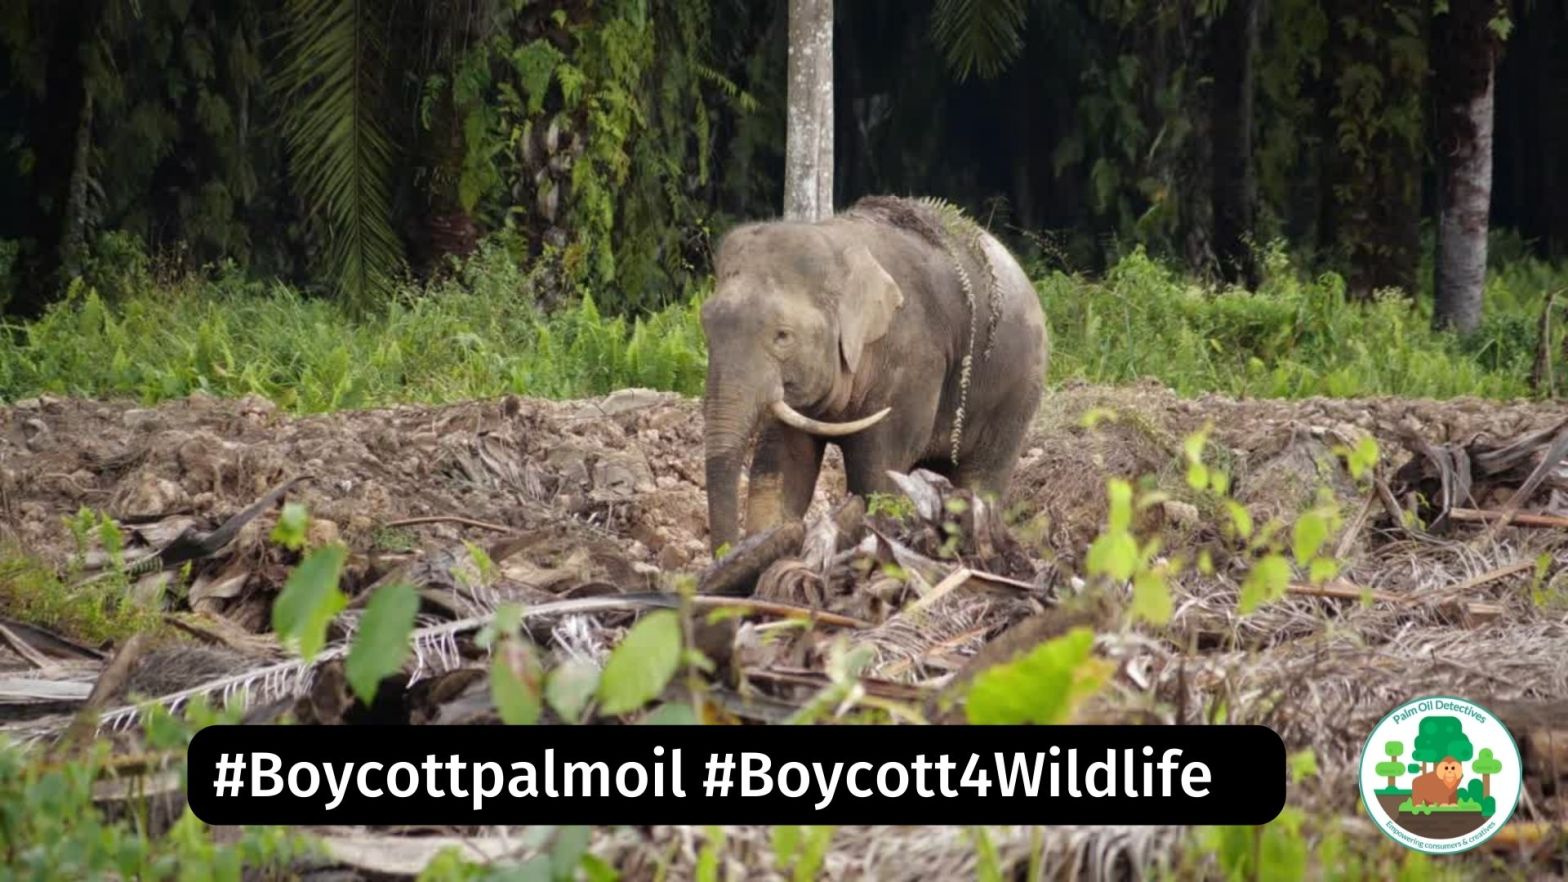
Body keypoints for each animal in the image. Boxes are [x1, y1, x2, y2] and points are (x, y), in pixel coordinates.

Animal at [700, 195, 1050, 553]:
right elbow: (783, 464)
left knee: (981, 477)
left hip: (1016, 391)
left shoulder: (912, 359)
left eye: (782, 336)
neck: (835, 238)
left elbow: (877, 474)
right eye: (706, 325)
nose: (724, 551)